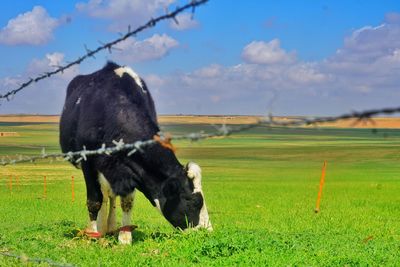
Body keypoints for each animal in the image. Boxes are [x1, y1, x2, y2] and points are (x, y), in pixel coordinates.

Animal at [59, 62, 212, 245]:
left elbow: (126, 201)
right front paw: (93, 236)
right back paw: (100, 229)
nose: (207, 231)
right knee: (103, 196)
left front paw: (125, 237)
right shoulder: (87, 161)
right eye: (193, 200)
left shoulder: (130, 168)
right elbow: (94, 200)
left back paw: (110, 227)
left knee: (110, 195)